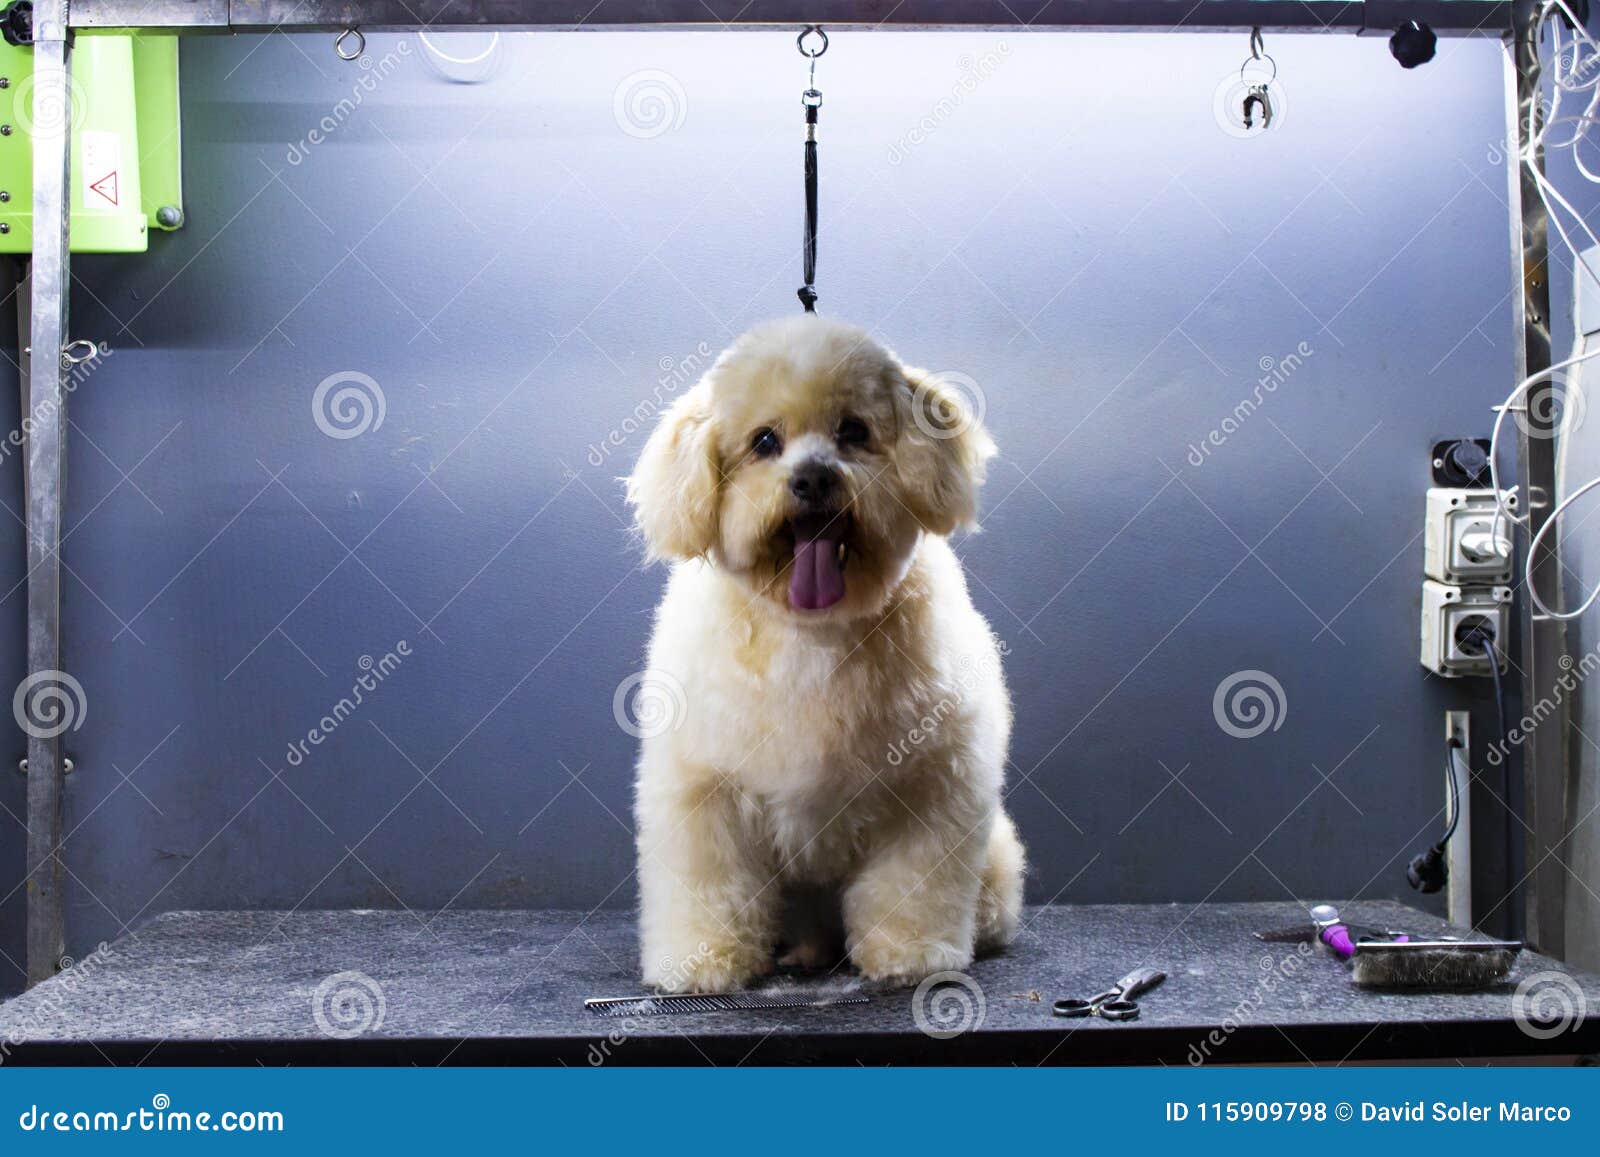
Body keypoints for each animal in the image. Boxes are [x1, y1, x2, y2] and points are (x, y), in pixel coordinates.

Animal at [624, 316, 1024, 998]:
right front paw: (703, 961)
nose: (813, 478)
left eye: (853, 431)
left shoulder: (930, 786)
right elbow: (707, 885)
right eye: (764, 441)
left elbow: (912, 883)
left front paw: (911, 955)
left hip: (995, 854)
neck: (811, 632)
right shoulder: (703, 792)